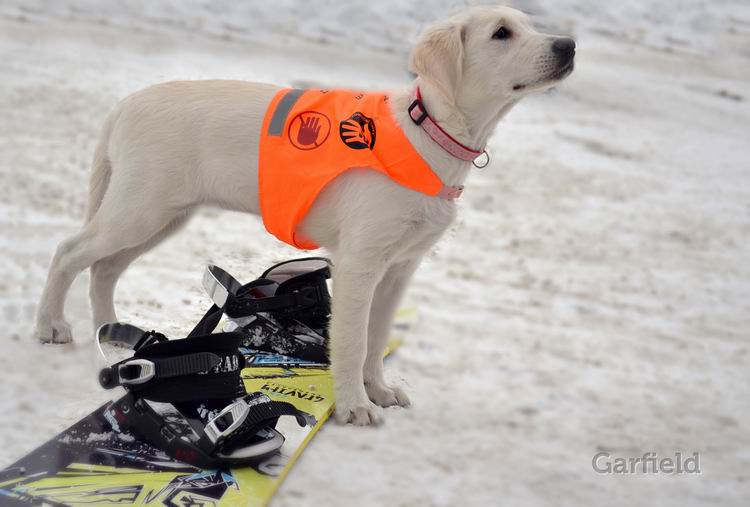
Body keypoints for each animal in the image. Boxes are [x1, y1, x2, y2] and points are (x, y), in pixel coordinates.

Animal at [33, 5, 576, 426]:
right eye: (501, 32)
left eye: (530, 24)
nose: (569, 45)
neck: (432, 132)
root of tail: (124, 104)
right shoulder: (359, 264)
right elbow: (352, 340)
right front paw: (355, 406)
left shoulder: (400, 268)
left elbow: (377, 338)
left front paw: (377, 389)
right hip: (140, 208)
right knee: (68, 251)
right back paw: (50, 326)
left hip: (162, 215)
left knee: (104, 267)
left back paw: (113, 332)